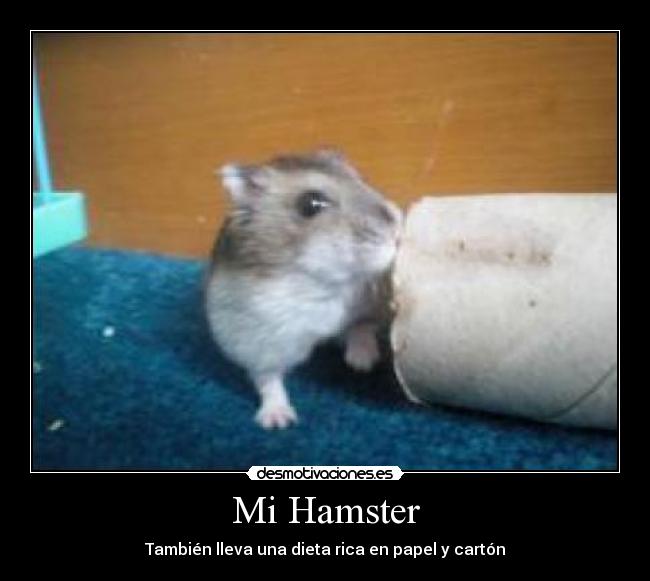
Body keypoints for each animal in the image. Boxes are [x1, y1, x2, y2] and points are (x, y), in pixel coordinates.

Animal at [204, 149, 402, 429]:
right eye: (311, 204)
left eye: (363, 179)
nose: (396, 229)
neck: (318, 280)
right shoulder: (255, 343)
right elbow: (267, 380)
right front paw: (278, 422)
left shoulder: (369, 305)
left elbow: (360, 326)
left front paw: (362, 363)